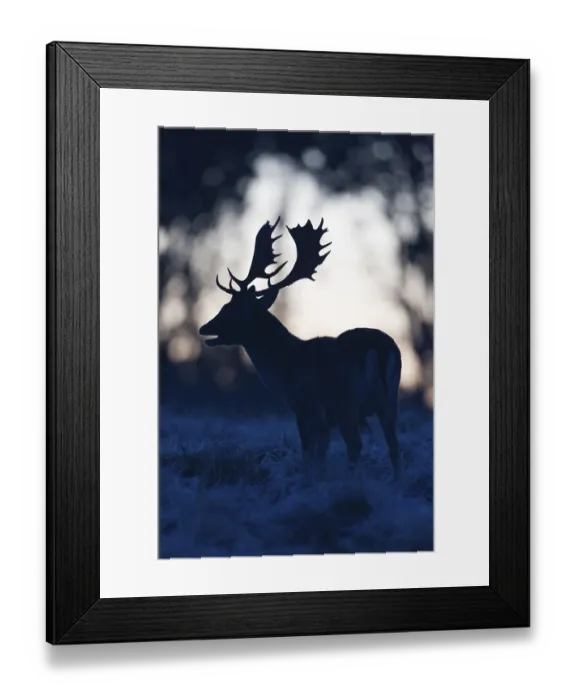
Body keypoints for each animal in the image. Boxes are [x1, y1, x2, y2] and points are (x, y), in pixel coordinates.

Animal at [199, 218, 403, 480]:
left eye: (231, 309)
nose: (204, 327)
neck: (284, 366)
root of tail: (380, 349)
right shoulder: (322, 417)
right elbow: (322, 450)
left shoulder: (304, 405)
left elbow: (309, 451)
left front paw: (309, 479)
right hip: (390, 399)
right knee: (394, 444)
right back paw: (396, 482)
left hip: (346, 399)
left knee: (355, 444)